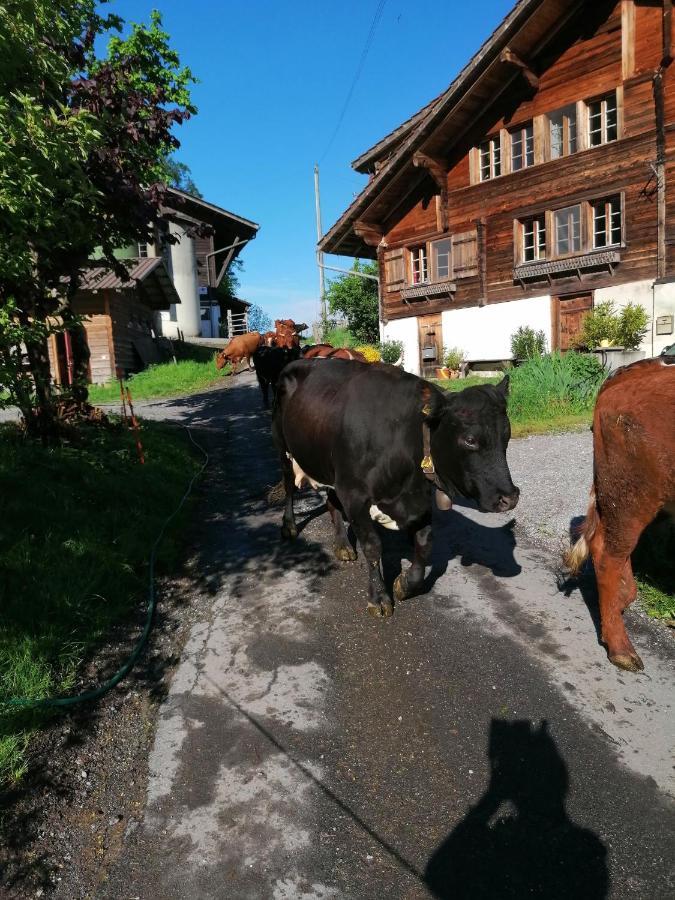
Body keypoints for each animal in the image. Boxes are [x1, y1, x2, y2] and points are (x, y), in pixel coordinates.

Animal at [272, 358, 520, 620]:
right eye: (470, 440)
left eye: (507, 435)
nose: (510, 497)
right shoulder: (354, 494)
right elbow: (372, 547)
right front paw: (379, 598)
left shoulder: (420, 501)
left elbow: (424, 543)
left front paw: (406, 584)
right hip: (283, 449)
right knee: (289, 488)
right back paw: (289, 526)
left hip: (327, 465)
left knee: (331, 499)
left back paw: (342, 545)